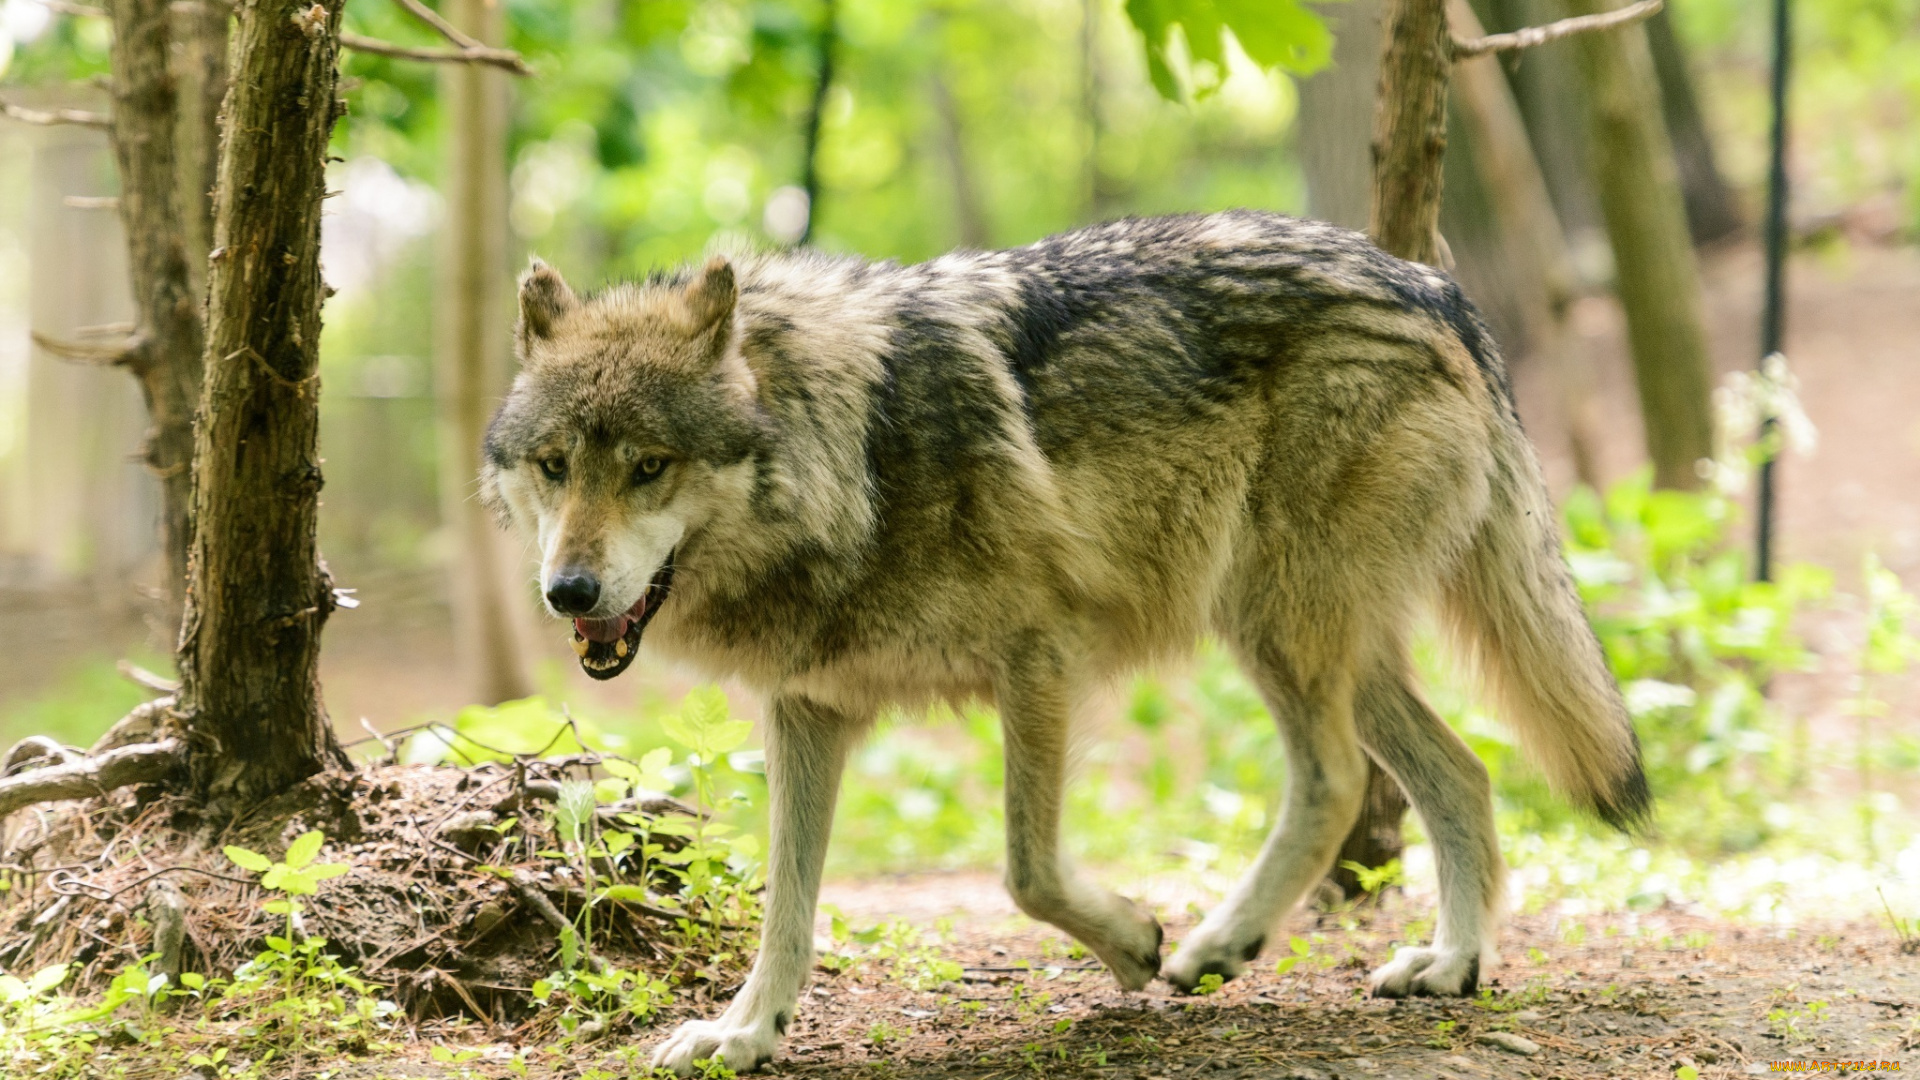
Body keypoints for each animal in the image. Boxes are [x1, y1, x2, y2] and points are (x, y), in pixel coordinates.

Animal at [483, 208, 1651, 1068]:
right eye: (554, 466)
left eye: (648, 466)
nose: (567, 591)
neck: (854, 452)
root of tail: (1432, 285)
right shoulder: (809, 709)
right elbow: (789, 903)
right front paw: (743, 1034)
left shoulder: (1040, 658)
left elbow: (1027, 871)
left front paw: (1136, 940)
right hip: (1324, 643)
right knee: (1463, 773)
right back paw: (1451, 965)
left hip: (1274, 624)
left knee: (1334, 783)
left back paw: (1220, 943)